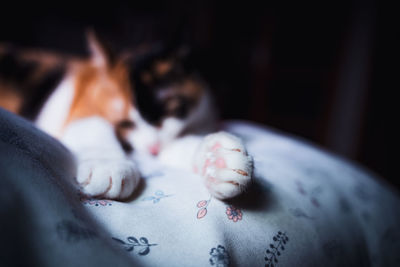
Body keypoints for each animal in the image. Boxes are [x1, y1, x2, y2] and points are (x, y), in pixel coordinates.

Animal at [0, 31, 253, 201]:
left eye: (169, 111)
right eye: (125, 123)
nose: (152, 149)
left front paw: (218, 158)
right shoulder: (84, 108)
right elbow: (95, 126)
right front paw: (109, 166)